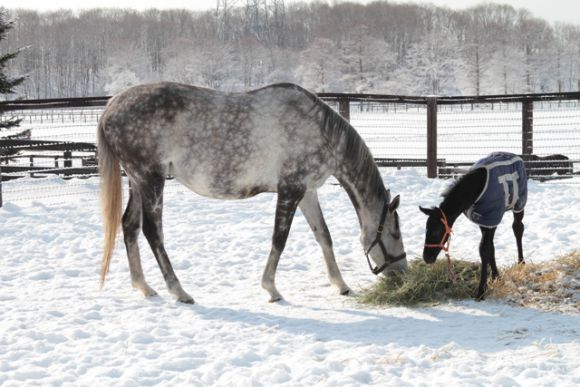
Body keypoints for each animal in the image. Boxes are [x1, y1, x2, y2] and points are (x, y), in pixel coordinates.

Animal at [98, 82, 408, 304]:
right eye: (395, 233)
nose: (402, 275)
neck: (319, 131)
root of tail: (111, 107)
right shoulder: (290, 190)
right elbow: (279, 240)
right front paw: (271, 289)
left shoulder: (307, 193)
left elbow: (324, 236)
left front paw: (341, 285)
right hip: (151, 180)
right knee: (153, 232)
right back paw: (179, 291)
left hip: (137, 181)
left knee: (129, 226)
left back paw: (144, 286)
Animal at [422, 153, 524, 302]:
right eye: (426, 229)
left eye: (437, 231)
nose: (426, 257)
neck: (476, 187)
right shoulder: (483, 219)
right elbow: (489, 248)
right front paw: (495, 277)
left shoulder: (491, 216)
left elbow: (484, 249)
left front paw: (481, 291)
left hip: (519, 203)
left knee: (518, 228)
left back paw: (522, 262)